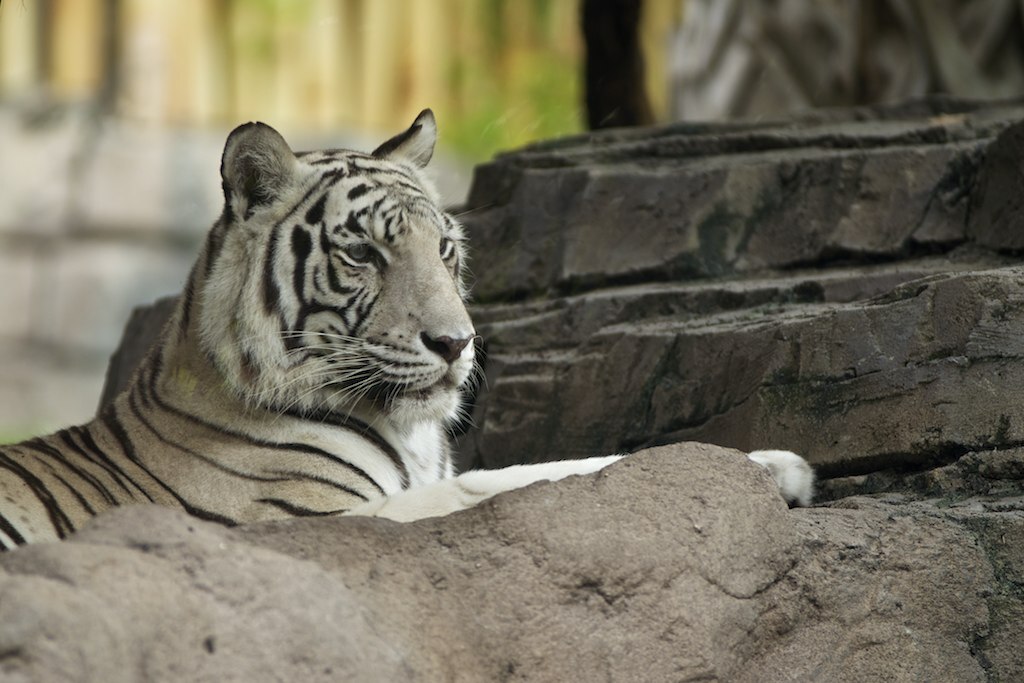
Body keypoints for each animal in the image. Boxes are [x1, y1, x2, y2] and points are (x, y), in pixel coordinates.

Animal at [0, 112, 815, 548]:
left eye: (445, 249)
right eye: (364, 252)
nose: (455, 344)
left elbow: (548, 469)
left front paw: (775, 467)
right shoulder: (309, 520)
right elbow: (483, 498)